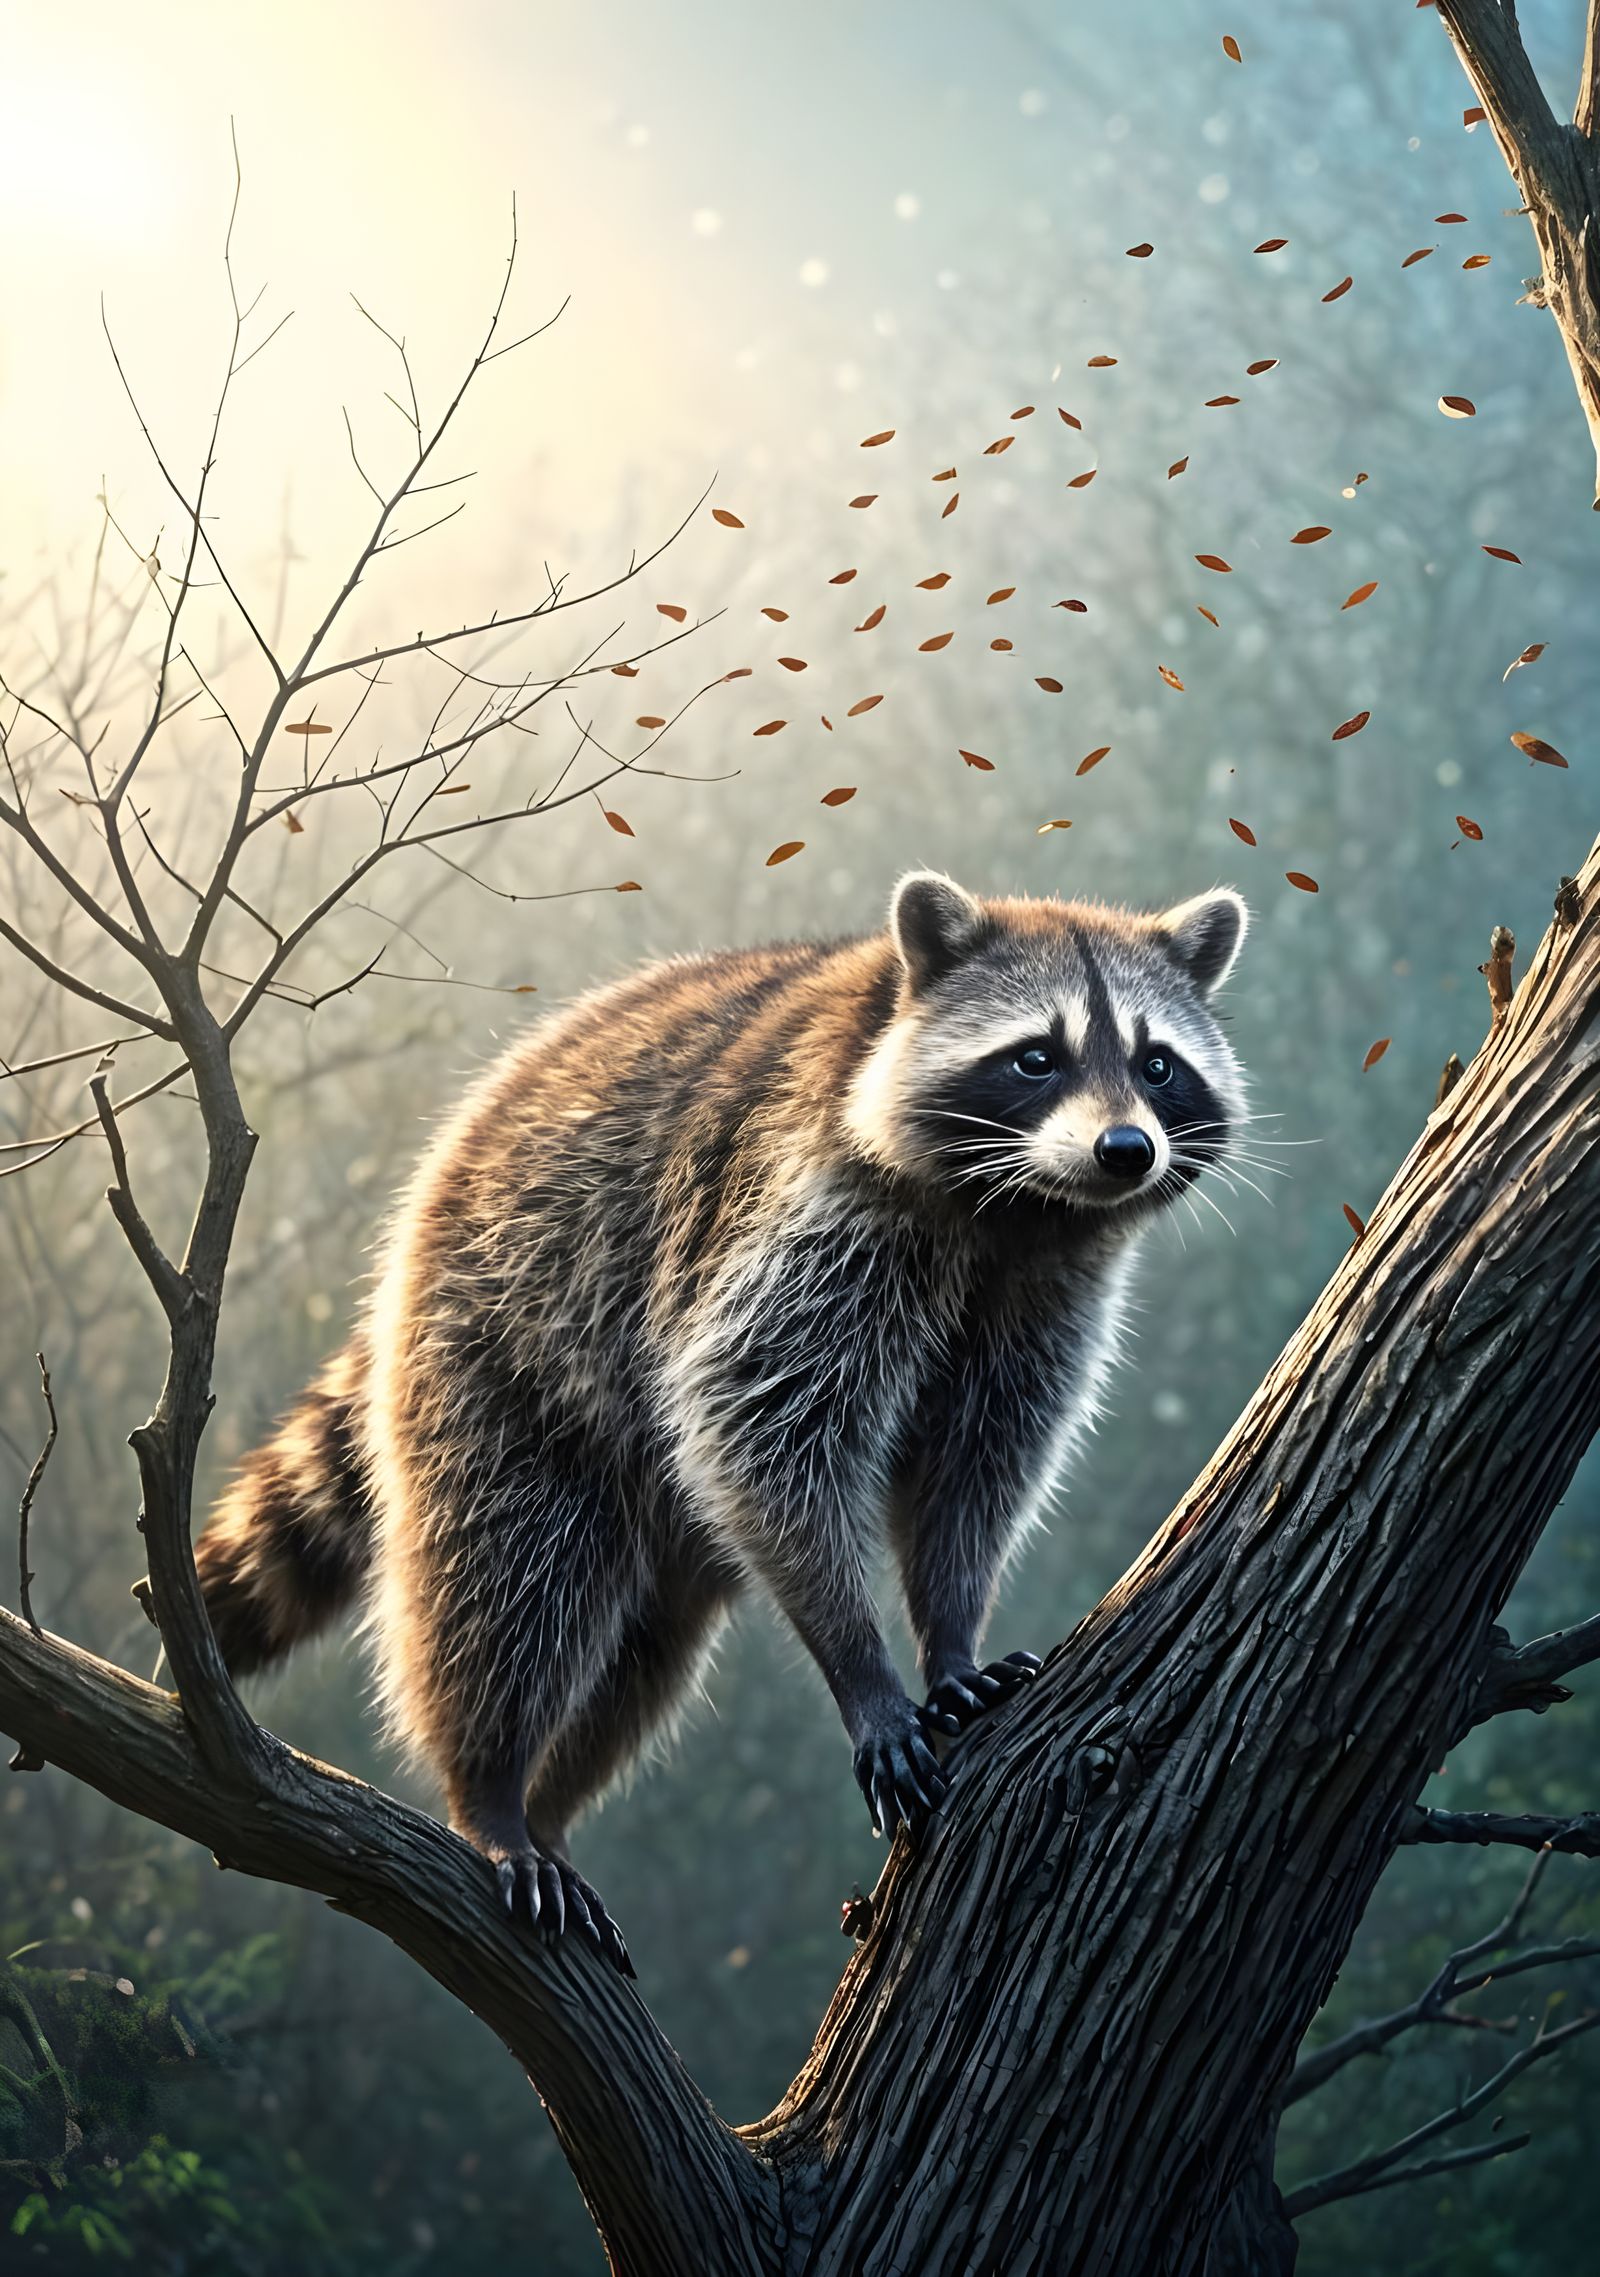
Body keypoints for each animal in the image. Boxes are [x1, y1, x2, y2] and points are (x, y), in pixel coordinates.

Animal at [194, 872, 1248, 1975]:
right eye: (1037, 1056)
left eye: (1157, 1064)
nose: (1126, 1150)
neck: (1018, 1208)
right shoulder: (807, 1204)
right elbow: (758, 1427)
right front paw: (865, 1670)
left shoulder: (1045, 1286)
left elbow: (977, 1462)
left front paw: (951, 1634)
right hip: (500, 1347)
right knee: (508, 1585)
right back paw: (490, 1791)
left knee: (646, 1650)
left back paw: (551, 1802)